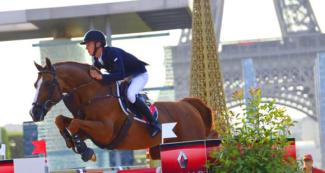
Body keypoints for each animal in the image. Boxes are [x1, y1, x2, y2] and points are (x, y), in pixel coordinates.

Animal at [29, 57, 214, 162]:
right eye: (35, 84)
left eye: (48, 84)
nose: (34, 113)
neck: (93, 94)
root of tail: (188, 105)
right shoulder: (90, 130)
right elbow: (61, 120)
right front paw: (72, 142)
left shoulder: (105, 131)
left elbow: (74, 123)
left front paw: (85, 151)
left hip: (192, 141)